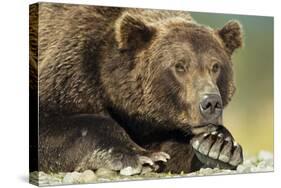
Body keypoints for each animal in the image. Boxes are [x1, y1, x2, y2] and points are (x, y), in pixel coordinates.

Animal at [29, 2, 243, 175]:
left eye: (215, 66)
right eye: (179, 66)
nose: (211, 103)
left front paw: (219, 146)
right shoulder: (71, 73)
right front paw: (142, 156)